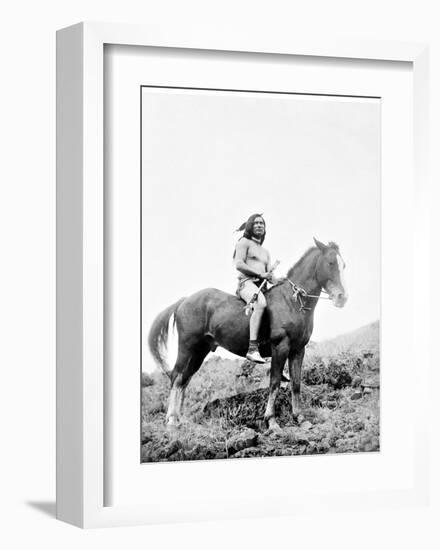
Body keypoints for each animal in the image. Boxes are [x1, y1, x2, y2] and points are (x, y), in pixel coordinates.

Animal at [150, 239, 348, 434]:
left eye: (343, 265)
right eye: (330, 263)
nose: (342, 297)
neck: (292, 301)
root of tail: (184, 300)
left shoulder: (298, 350)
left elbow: (296, 384)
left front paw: (300, 418)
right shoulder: (280, 347)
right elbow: (275, 382)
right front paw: (271, 421)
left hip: (200, 352)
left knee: (184, 380)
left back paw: (179, 419)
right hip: (187, 347)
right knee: (176, 377)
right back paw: (171, 421)